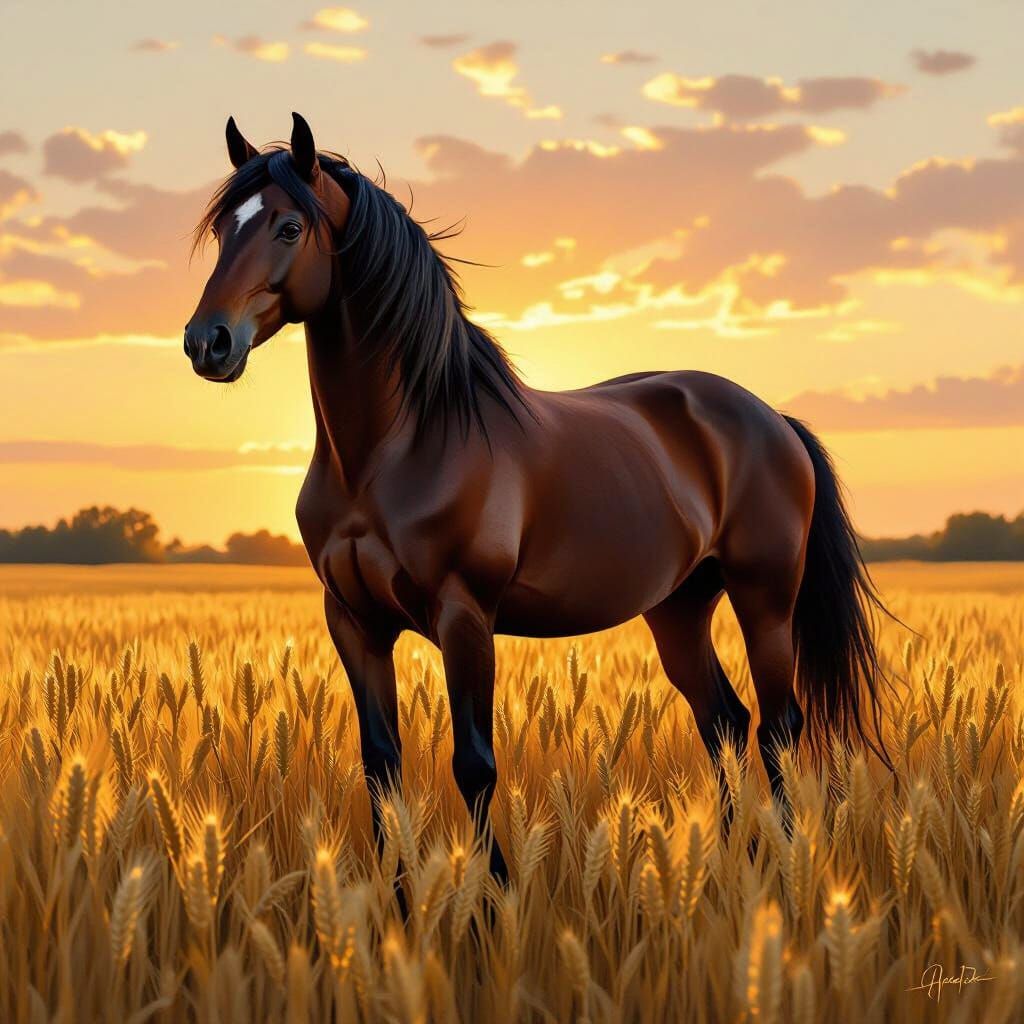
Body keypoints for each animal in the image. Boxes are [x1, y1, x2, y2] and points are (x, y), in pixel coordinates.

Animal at [185, 113, 888, 880]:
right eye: (222, 230)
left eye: (288, 227)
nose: (207, 342)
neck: (391, 448)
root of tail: (771, 418)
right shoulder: (353, 620)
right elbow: (381, 765)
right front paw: (397, 896)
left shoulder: (464, 617)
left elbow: (474, 765)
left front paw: (494, 894)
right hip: (678, 606)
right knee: (723, 720)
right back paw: (726, 864)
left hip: (766, 598)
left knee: (778, 727)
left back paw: (782, 866)